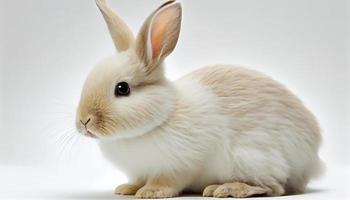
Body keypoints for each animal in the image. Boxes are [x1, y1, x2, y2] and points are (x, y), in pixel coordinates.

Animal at [76, 0, 322, 198]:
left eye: (122, 88)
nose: (83, 122)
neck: (161, 118)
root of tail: (311, 159)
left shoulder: (182, 164)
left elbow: (168, 180)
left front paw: (150, 192)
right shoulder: (141, 170)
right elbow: (137, 179)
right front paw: (127, 188)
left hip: (253, 158)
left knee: (275, 187)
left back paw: (225, 189)